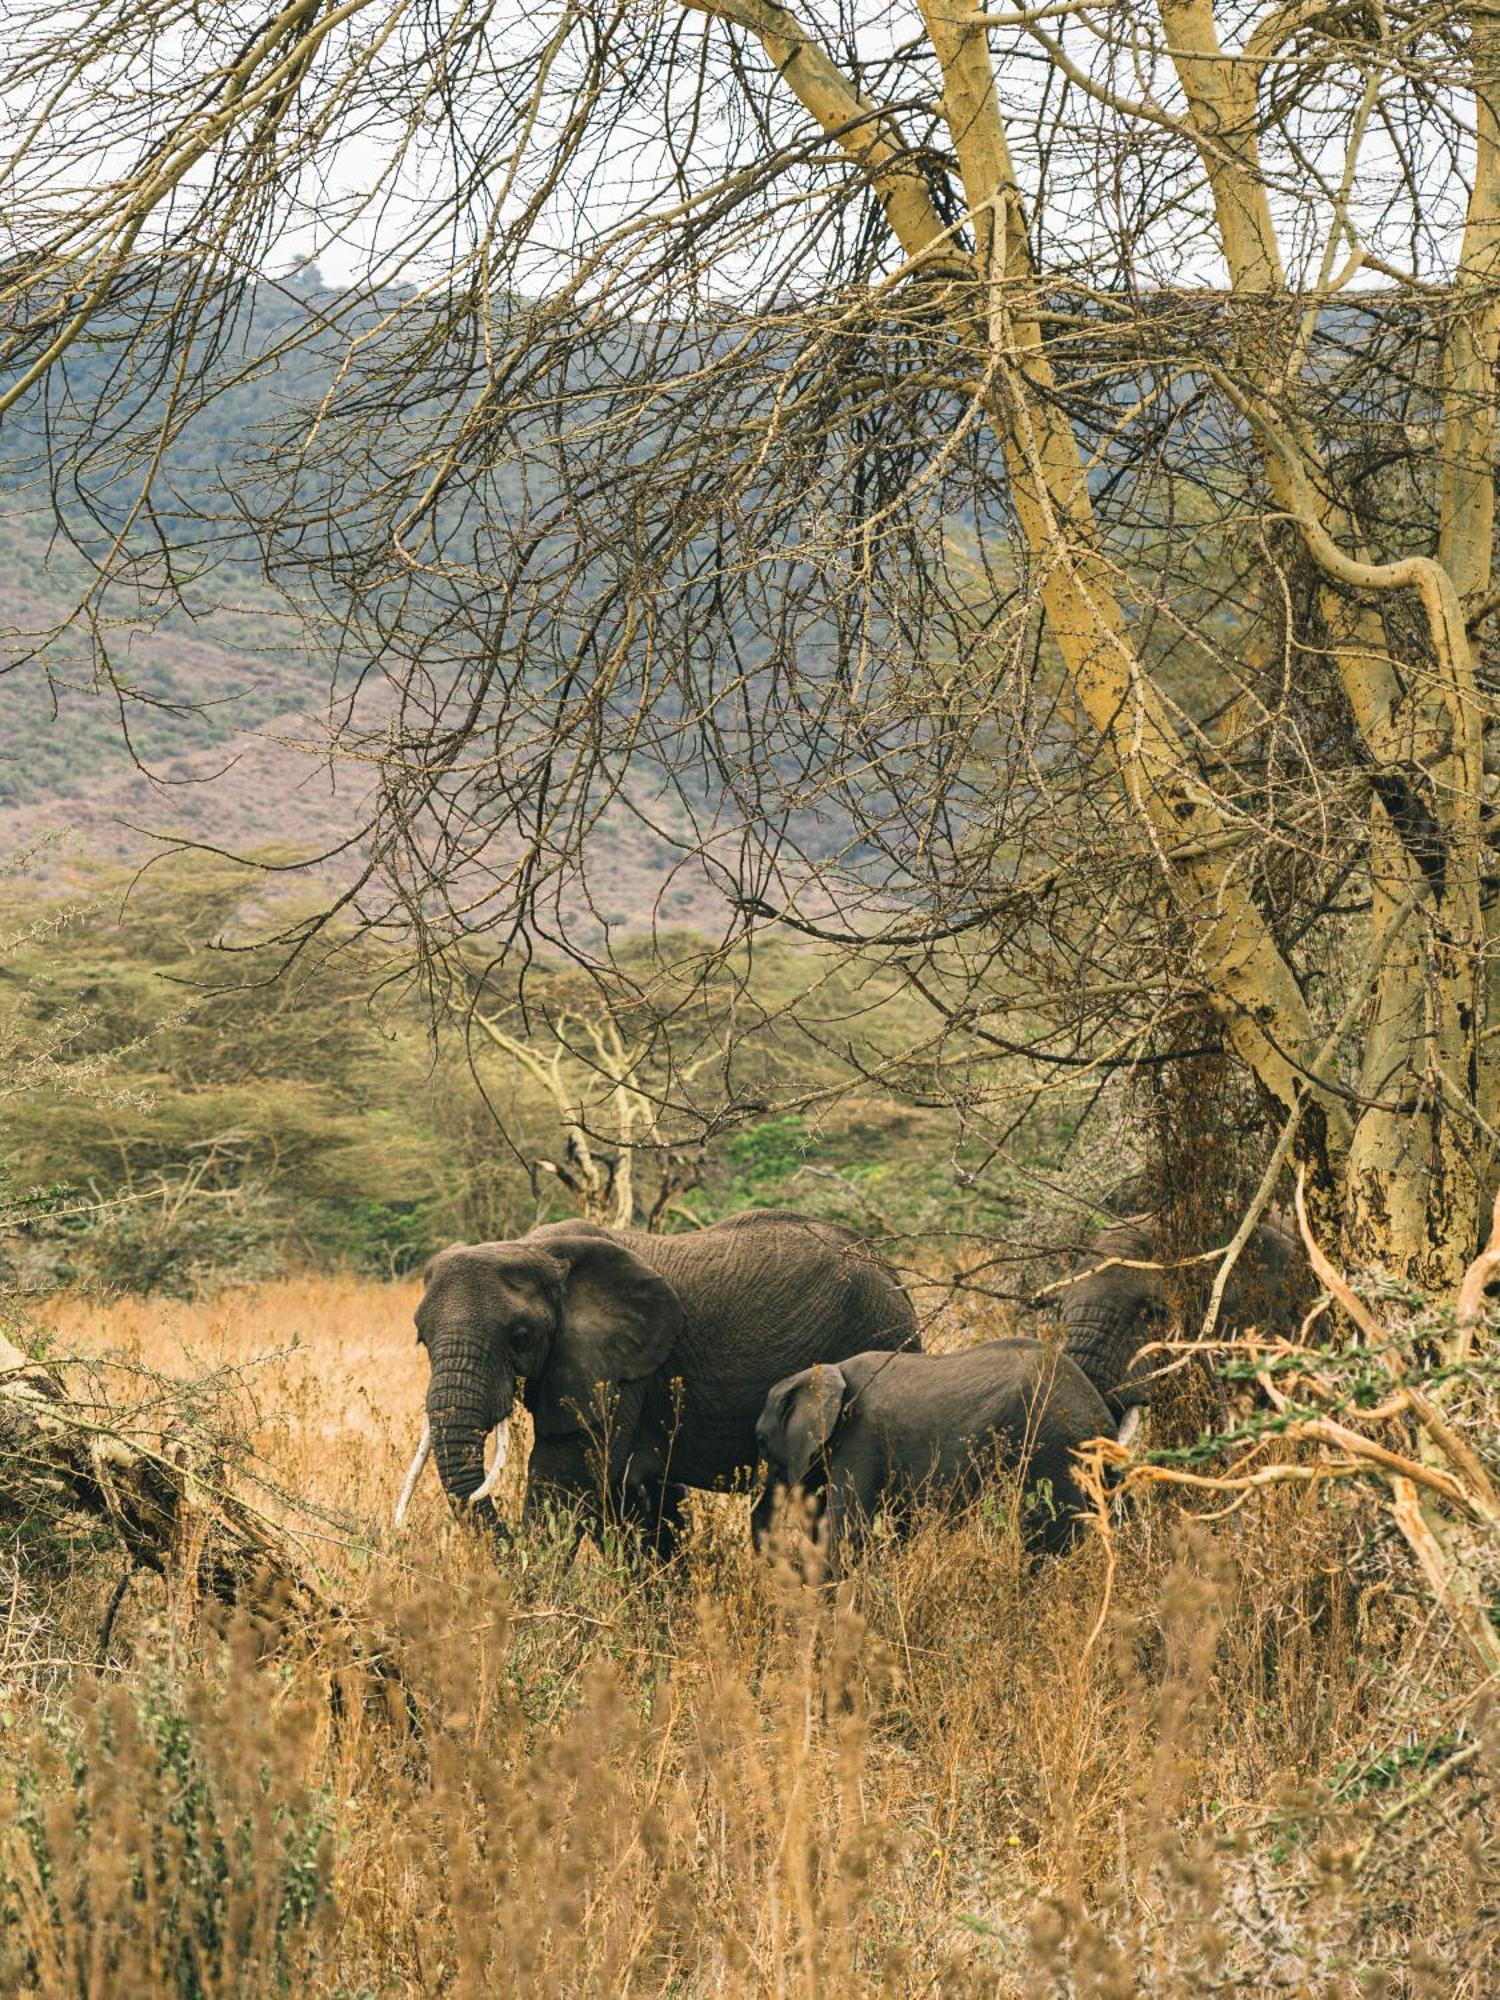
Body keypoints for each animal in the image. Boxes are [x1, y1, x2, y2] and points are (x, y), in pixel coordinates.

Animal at [394, 1192, 924, 1552]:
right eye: (422, 1340)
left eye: (520, 1336)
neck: (535, 1249)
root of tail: (889, 1269)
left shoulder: (620, 1370)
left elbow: (570, 1475)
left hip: (878, 1336)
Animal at [752, 1336, 1120, 1568]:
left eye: (761, 1441)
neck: (825, 1371)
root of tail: (1100, 1419)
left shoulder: (861, 1440)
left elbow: (848, 1531)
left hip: (1048, 1449)